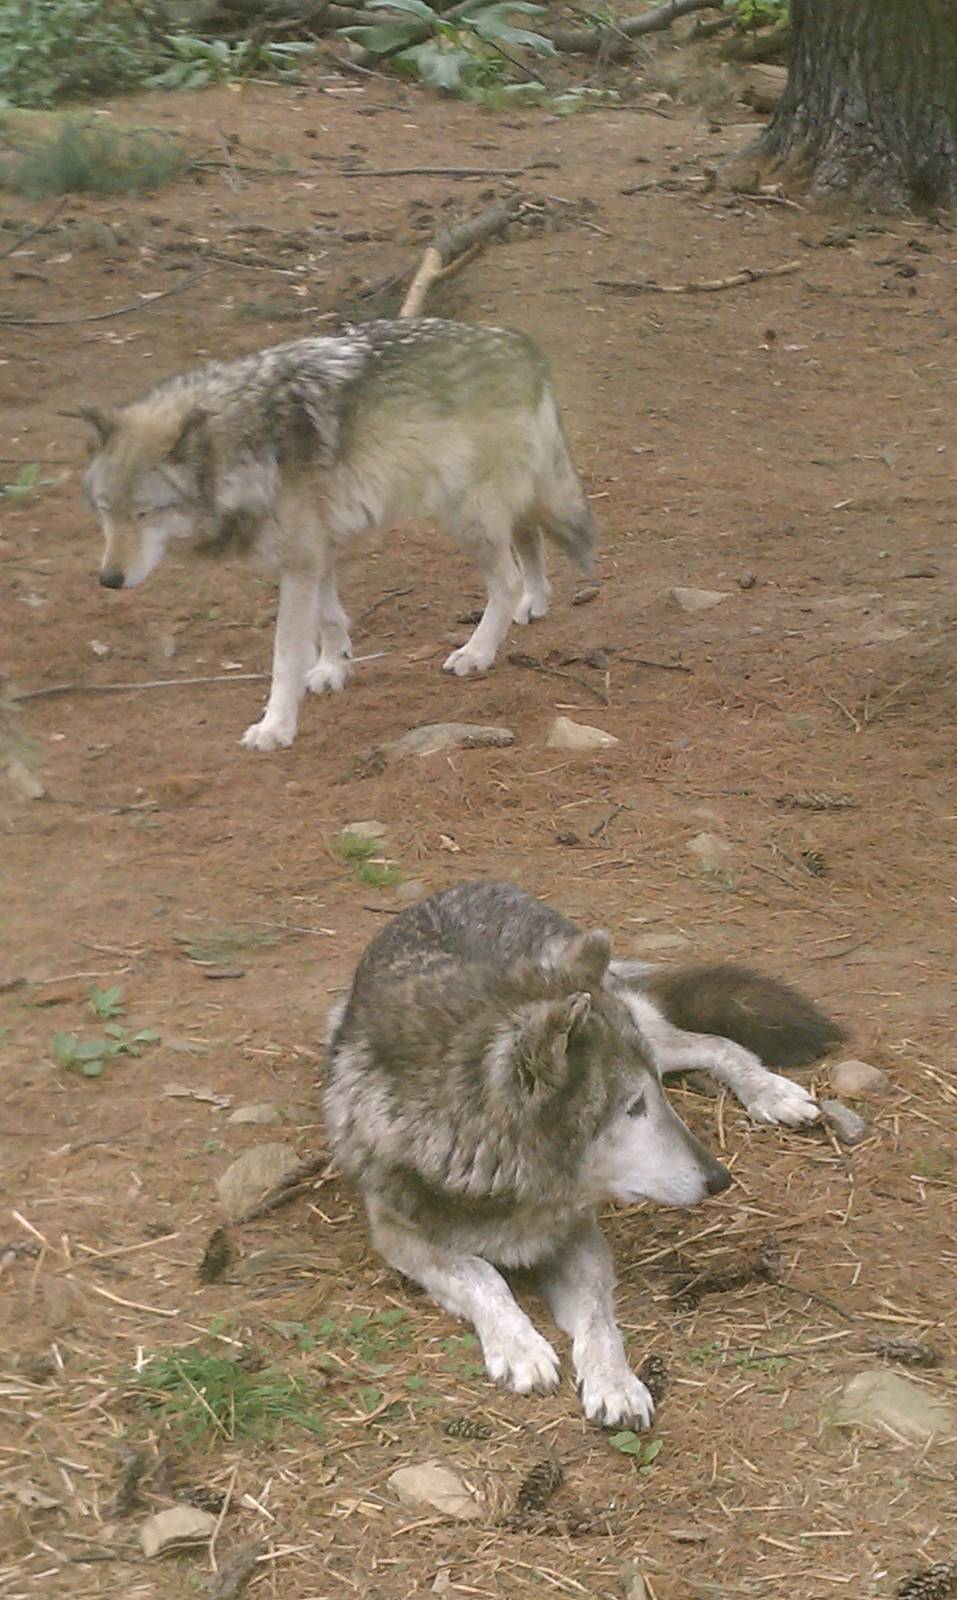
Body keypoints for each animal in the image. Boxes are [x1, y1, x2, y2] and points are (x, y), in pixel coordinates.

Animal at [80, 318, 595, 752]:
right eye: (105, 510)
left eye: (144, 513)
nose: (109, 580)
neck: (249, 441)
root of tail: (523, 346)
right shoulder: (313, 552)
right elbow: (329, 619)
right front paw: (332, 668)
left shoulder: (301, 562)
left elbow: (286, 654)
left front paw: (275, 726)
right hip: (497, 503)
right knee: (529, 538)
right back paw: (535, 600)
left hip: (468, 514)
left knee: (505, 580)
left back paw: (477, 651)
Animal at [323, 882, 843, 1430]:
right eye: (633, 1107)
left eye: (655, 1097)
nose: (719, 1178)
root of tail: (478, 885)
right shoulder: (399, 1233)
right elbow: (481, 1274)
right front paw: (521, 1347)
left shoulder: (579, 1233)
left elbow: (598, 1317)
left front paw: (615, 1383)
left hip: (655, 1035)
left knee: (715, 1042)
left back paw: (773, 1094)